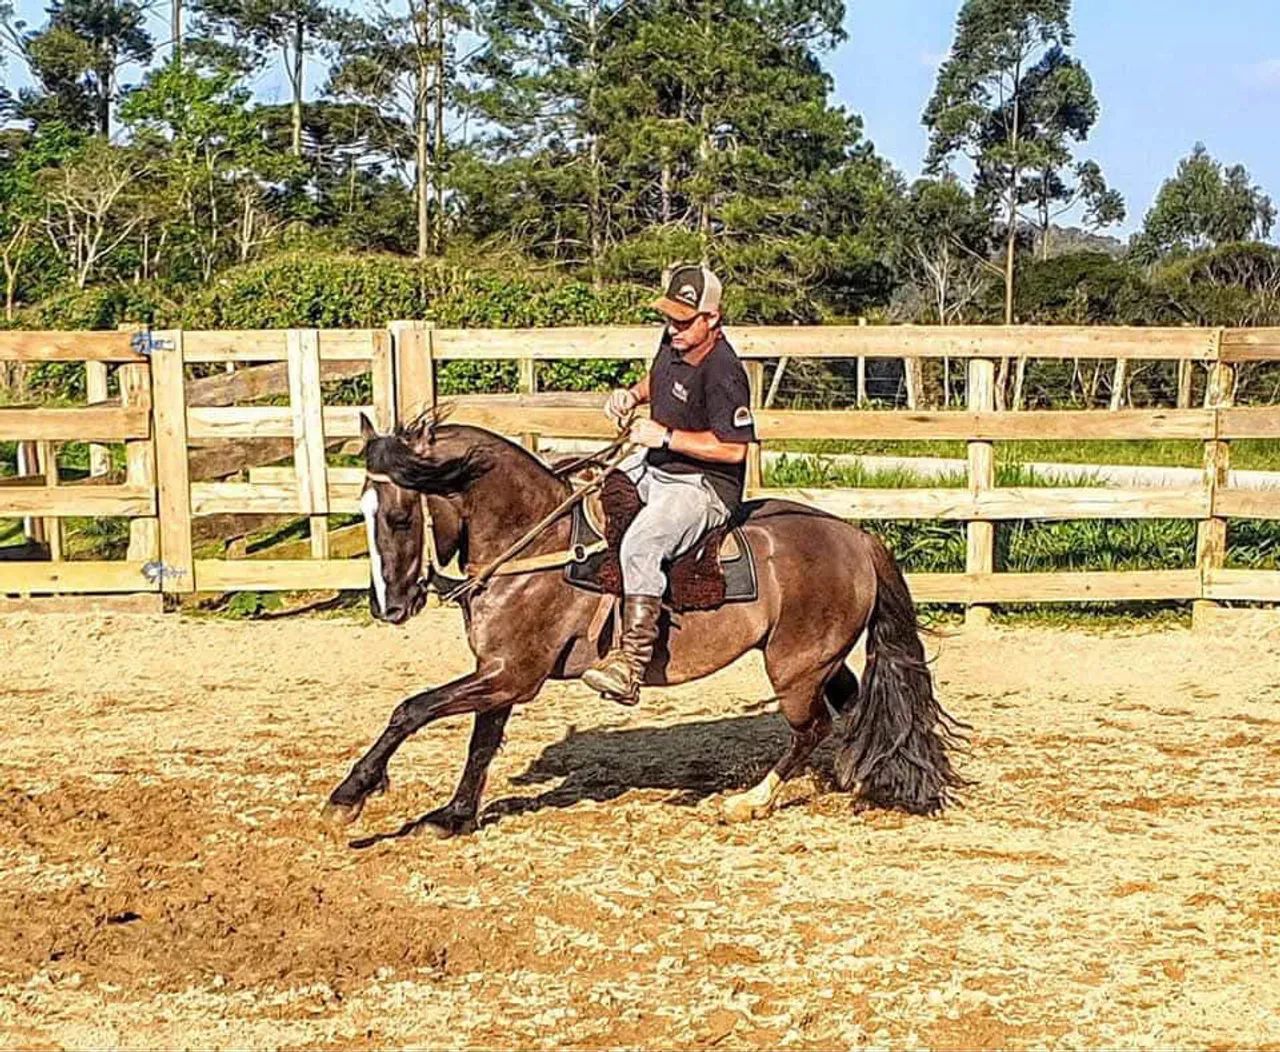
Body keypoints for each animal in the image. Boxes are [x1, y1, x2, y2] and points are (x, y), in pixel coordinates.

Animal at [323, 408, 968, 838]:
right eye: (363, 510)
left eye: (401, 517)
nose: (389, 607)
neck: (538, 542)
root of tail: (856, 536)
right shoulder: (500, 673)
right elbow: (481, 743)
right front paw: (454, 816)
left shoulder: (512, 674)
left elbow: (412, 709)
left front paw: (351, 793)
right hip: (822, 661)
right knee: (854, 707)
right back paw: (863, 772)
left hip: (793, 668)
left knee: (810, 729)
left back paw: (750, 801)